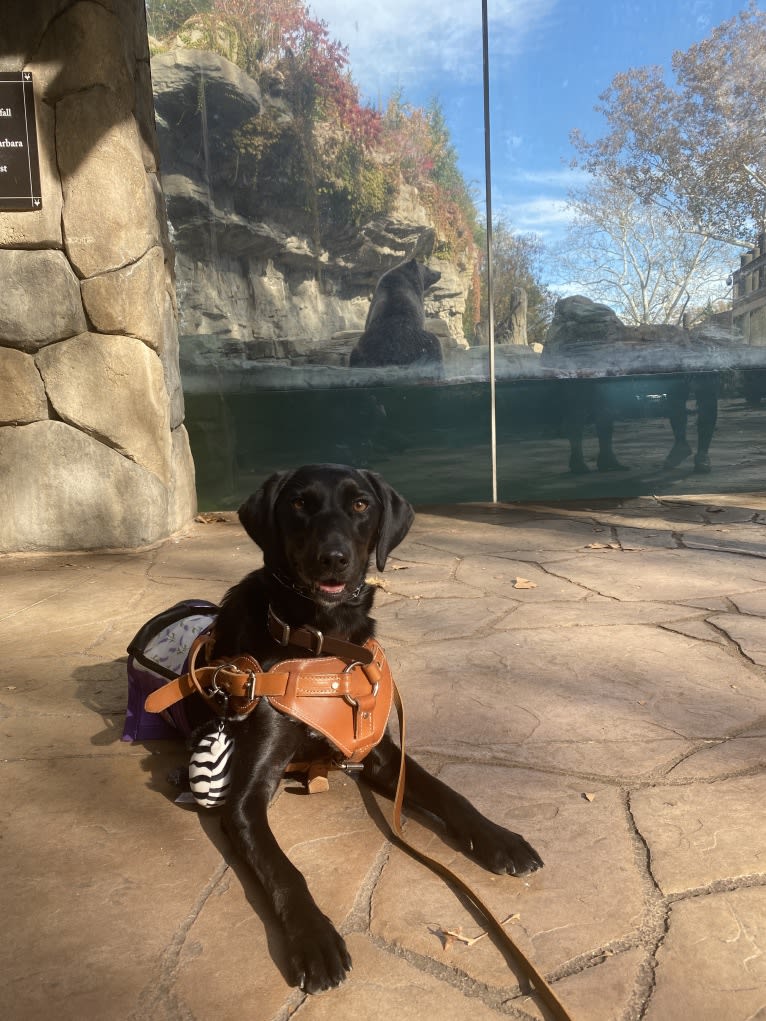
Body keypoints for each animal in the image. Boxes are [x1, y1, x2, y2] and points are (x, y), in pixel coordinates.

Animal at [213, 467, 543, 992]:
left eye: (361, 505)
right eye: (299, 504)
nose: (333, 559)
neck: (326, 643)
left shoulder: (382, 756)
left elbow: (450, 794)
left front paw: (499, 838)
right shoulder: (244, 800)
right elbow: (285, 870)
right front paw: (315, 939)